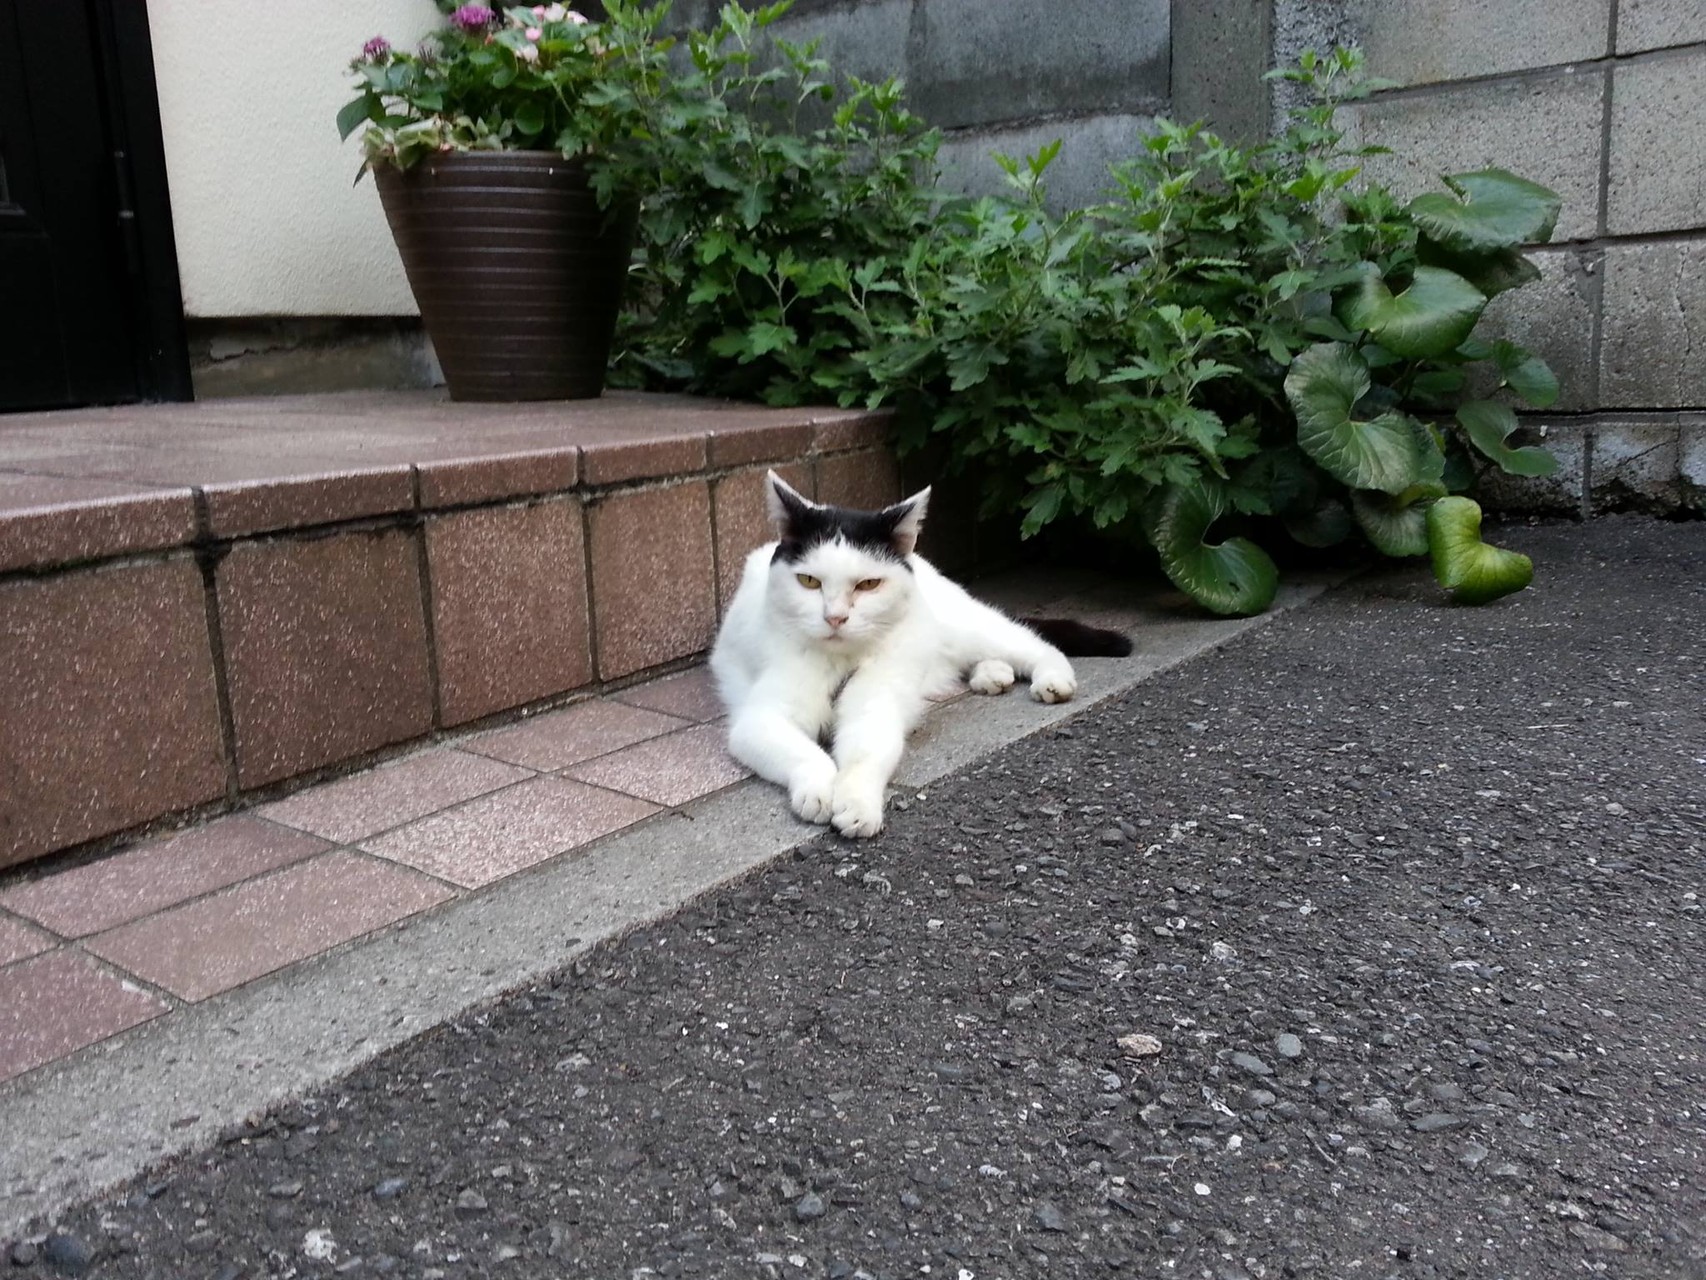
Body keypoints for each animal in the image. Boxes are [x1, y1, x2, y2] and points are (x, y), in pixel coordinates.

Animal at [709, 471, 1132, 843]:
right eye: (809, 581)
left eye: (868, 584)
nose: (835, 618)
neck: (842, 661)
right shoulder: (760, 719)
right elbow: (805, 753)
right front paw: (819, 790)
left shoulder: (876, 707)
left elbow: (866, 753)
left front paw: (857, 804)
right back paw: (992, 675)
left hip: (968, 627)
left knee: (1035, 643)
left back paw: (1052, 680)